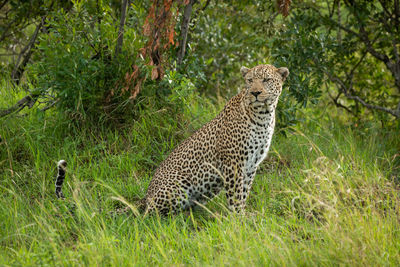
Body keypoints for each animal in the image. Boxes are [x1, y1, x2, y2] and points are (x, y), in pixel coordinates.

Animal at [55, 63, 288, 217]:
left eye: (266, 80)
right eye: (249, 81)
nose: (255, 92)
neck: (263, 116)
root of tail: (145, 196)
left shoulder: (251, 165)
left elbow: (244, 192)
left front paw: (244, 216)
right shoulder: (233, 164)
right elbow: (235, 195)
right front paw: (237, 220)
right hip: (178, 188)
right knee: (149, 216)